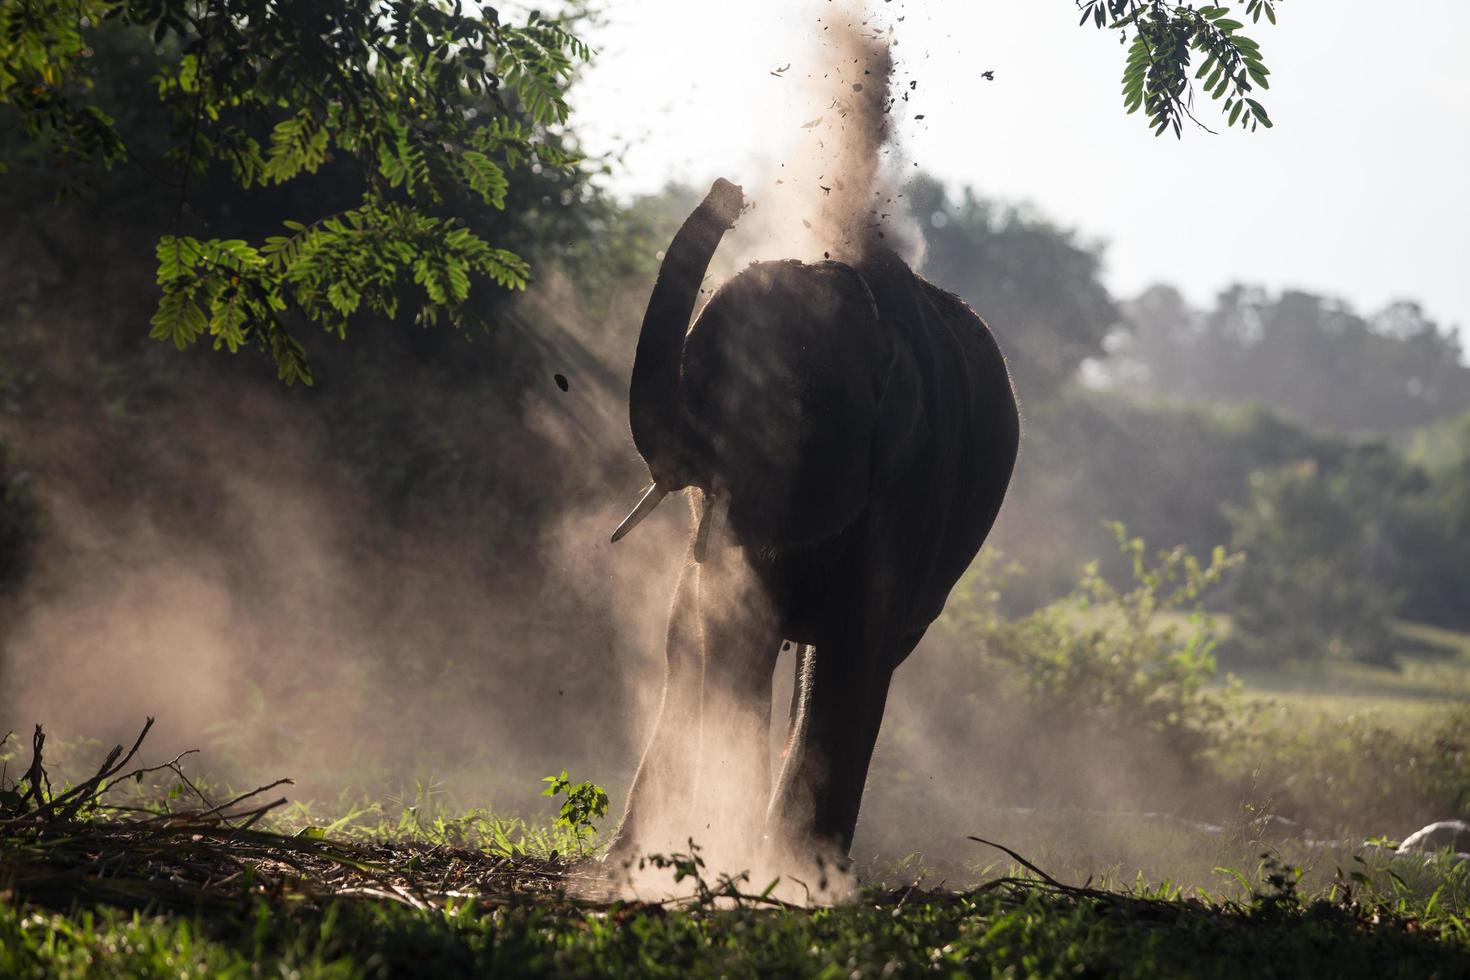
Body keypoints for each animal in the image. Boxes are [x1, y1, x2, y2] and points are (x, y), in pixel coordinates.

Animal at [608, 179, 1023, 863]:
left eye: (788, 407)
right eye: (703, 381)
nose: (730, 192)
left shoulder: (915, 480)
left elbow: (858, 647)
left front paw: (795, 873)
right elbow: (737, 627)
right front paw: (737, 857)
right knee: (688, 637)